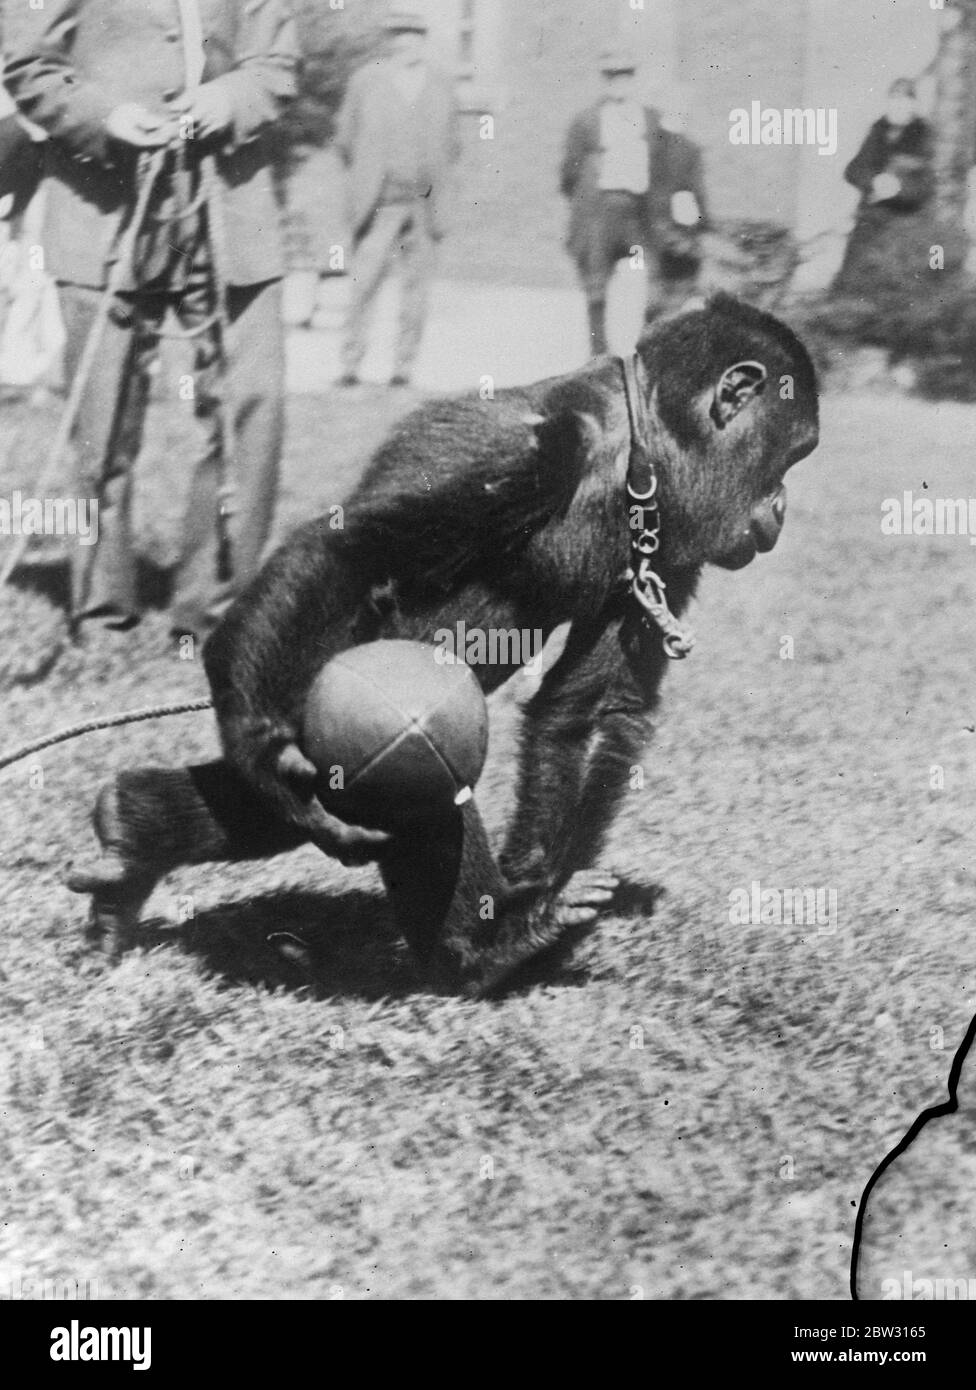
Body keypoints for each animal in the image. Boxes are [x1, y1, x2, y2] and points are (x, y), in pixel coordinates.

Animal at [68, 293, 820, 997]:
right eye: (793, 454)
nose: (784, 505)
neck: (632, 450)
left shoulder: (667, 545)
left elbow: (591, 710)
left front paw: (535, 888)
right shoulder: (511, 449)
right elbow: (354, 547)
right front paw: (261, 752)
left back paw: (134, 831)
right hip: (309, 674)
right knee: (412, 756)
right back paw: (482, 954)